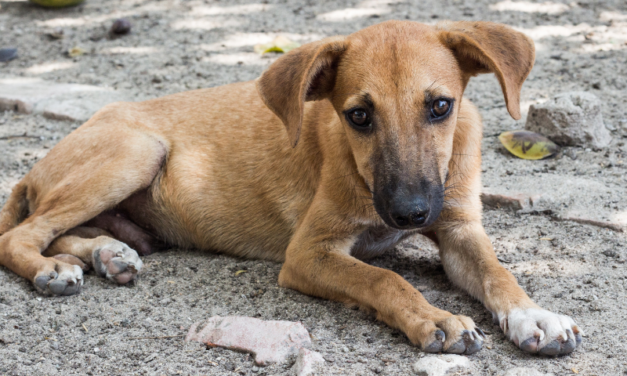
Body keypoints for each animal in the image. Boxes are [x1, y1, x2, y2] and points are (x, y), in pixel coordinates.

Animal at [0, 19, 580, 356]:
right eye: (358, 115)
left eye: (441, 106)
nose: (410, 213)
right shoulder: (309, 252)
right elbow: (383, 280)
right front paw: (433, 317)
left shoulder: (459, 228)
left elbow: (498, 272)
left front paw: (535, 315)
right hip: (135, 151)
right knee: (21, 235)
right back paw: (54, 270)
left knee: (63, 231)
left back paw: (108, 253)